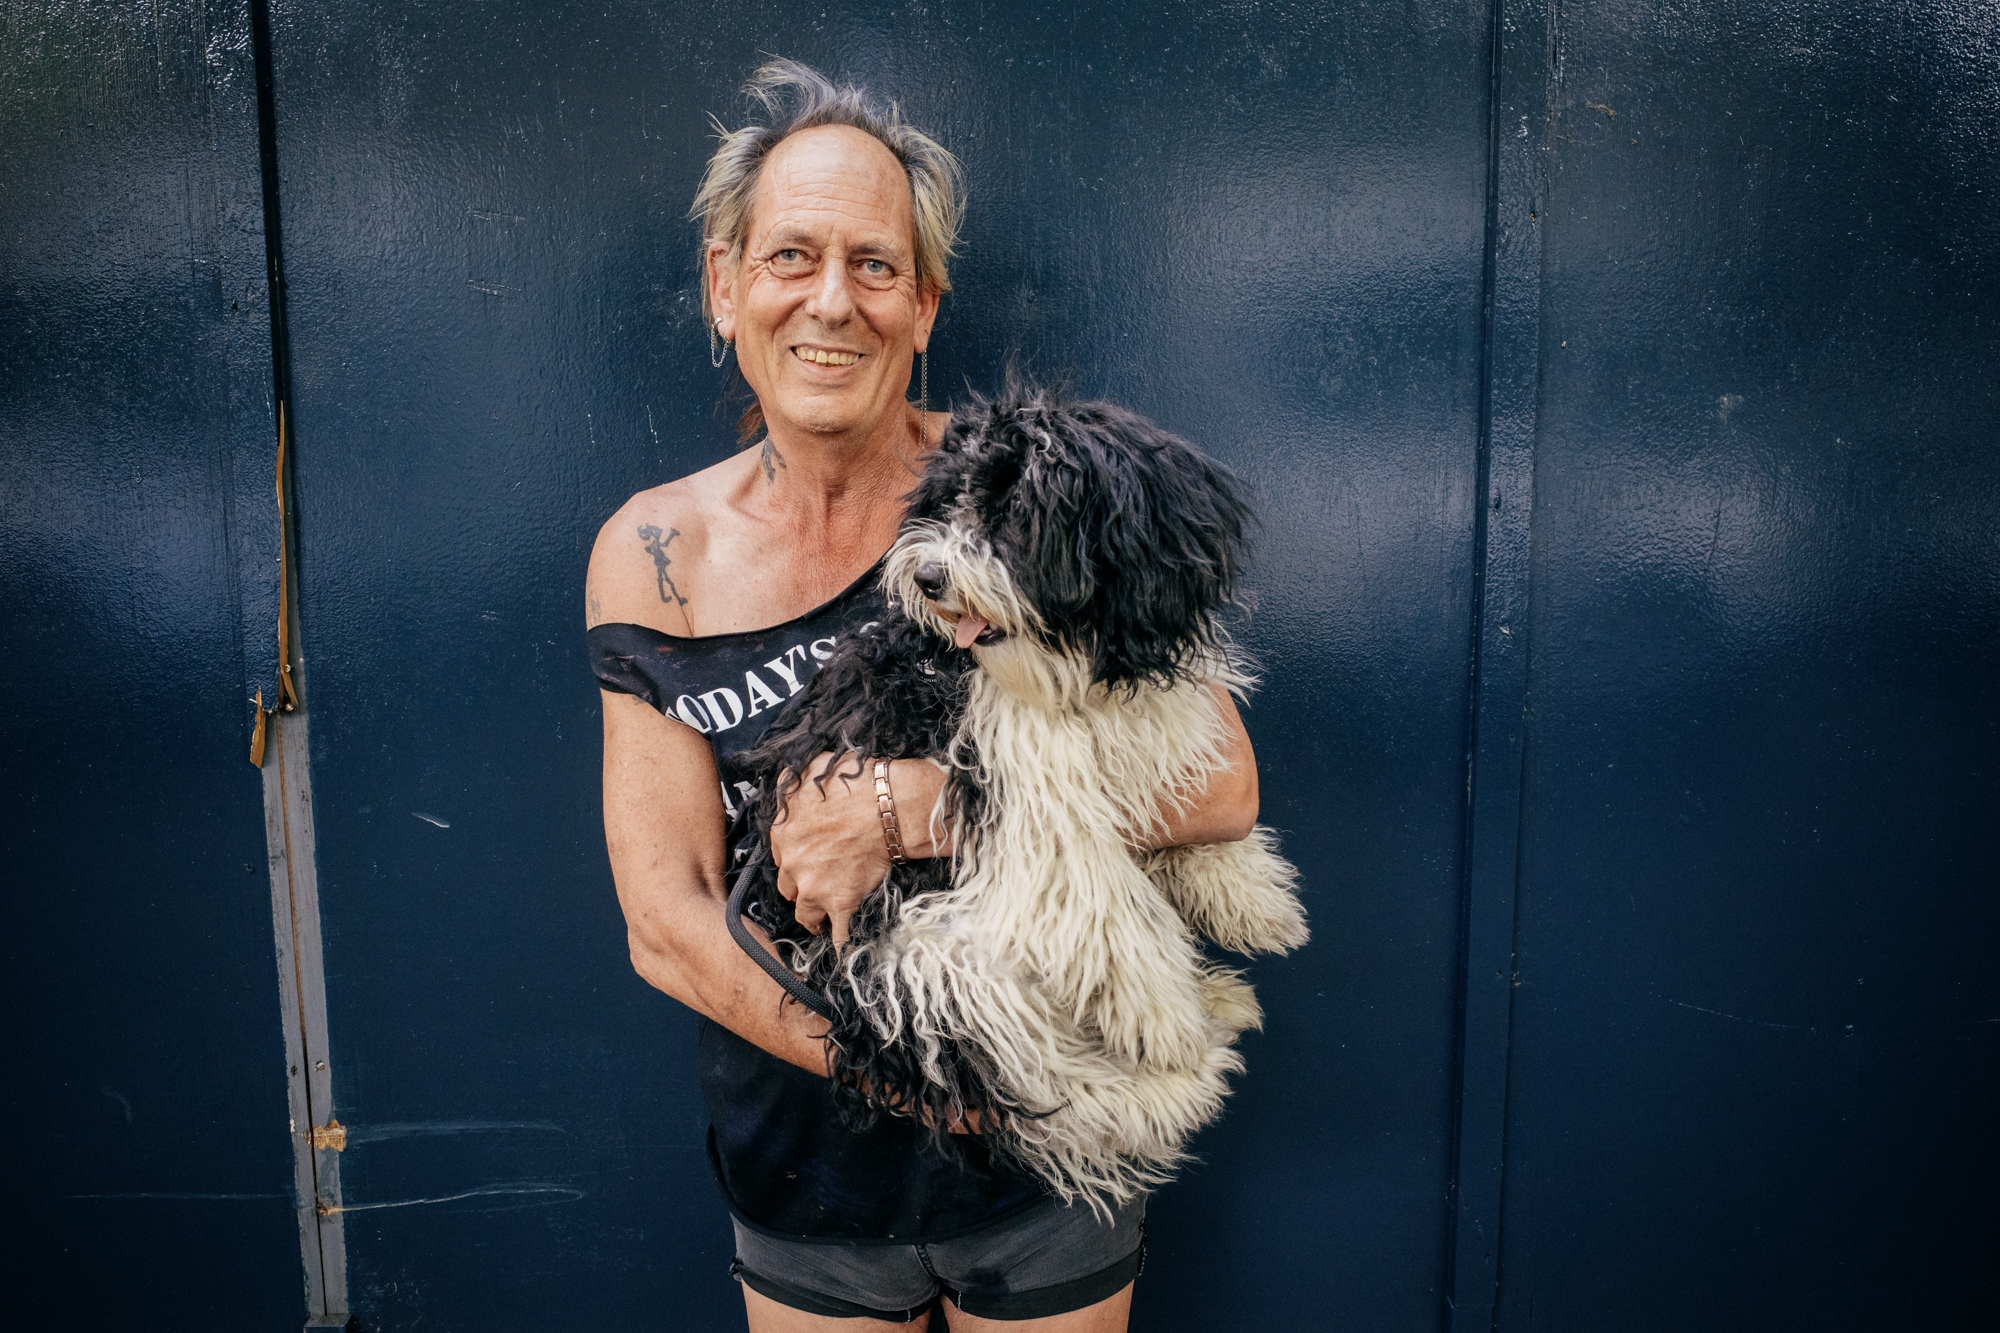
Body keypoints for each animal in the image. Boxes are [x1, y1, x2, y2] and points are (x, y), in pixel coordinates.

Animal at [736, 382, 1312, 1200]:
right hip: (919, 964)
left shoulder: (1139, 721)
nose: (929, 578)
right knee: (1043, 1078)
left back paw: (1217, 1002)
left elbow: (1169, 782)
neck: (1060, 675)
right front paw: (1162, 1015)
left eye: (1015, 516)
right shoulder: (1016, 780)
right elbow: (1099, 898)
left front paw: (1249, 893)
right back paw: (1177, 1076)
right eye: (949, 503)